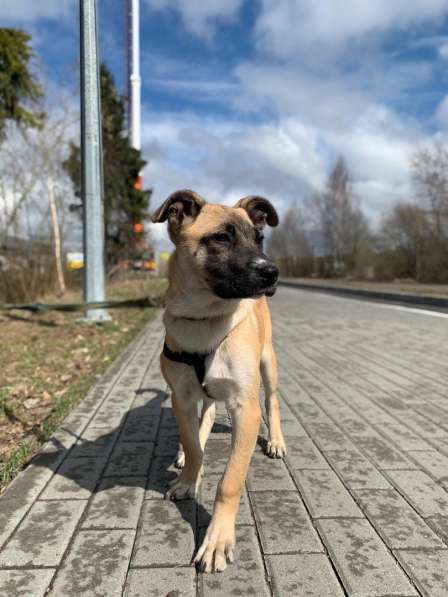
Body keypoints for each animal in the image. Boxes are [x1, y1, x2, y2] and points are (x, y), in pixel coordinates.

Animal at [152, 191, 286, 572]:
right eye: (222, 238)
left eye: (259, 238)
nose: (272, 271)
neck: (204, 319)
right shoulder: (181, 397)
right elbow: (194, 444)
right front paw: (188, 477)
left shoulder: (245, 408)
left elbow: (229, 481)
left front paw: (217, 540)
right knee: (207, 415)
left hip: (268, 364)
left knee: (272, 400)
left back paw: (276, 441)